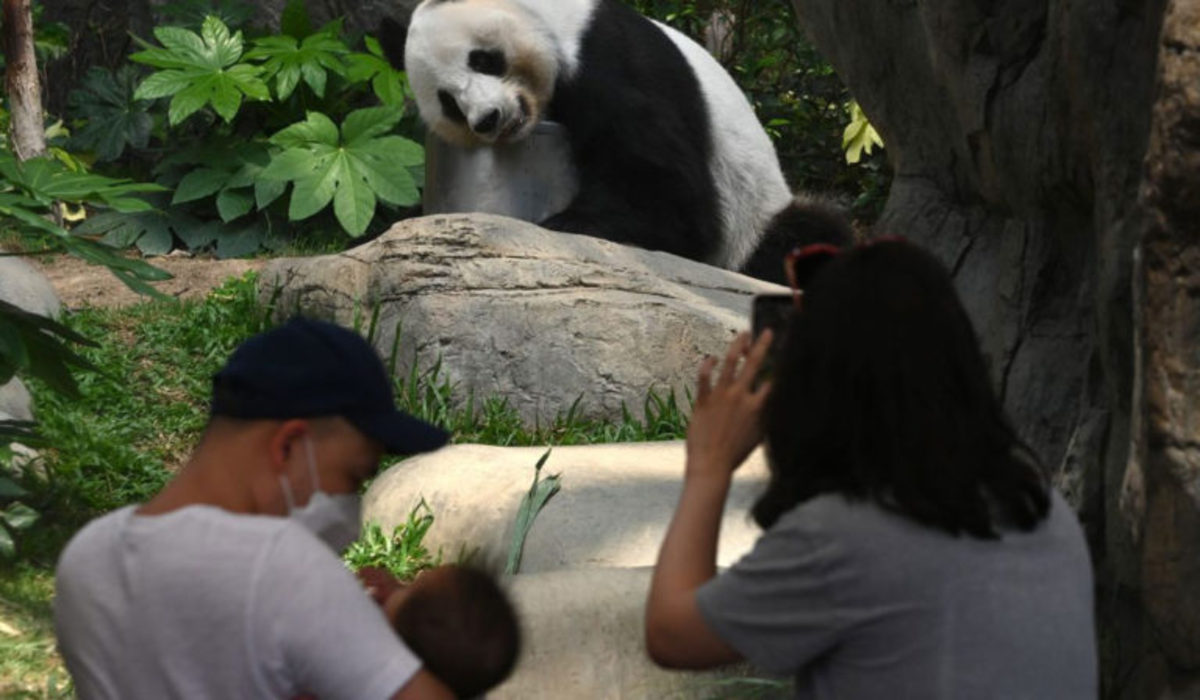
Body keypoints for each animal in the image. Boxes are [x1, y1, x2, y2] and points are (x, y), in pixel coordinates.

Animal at [379, 0, 849, 282]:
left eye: (482, 59)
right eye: (449, 102)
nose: (489, 119)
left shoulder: (612, 61)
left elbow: (674, 198)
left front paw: (569, 222)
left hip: (753, 222)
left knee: (805, 236)